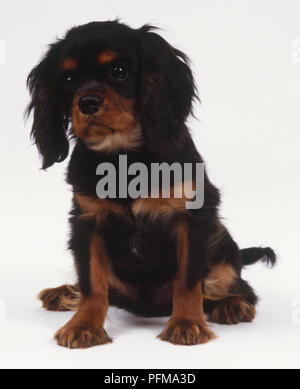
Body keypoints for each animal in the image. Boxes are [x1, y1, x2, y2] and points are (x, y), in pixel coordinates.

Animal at [27, 19, 276, 348]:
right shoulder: (86, 222)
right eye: (67, 80)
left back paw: (232, 304)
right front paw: (83, 325)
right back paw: (65, 293)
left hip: (221, 240)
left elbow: (188, 280)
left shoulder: (194, 218)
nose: (87, 102)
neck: (122, 156)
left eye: (118, 71)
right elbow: (92, 282)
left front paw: (186, 323)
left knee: (234, 282)